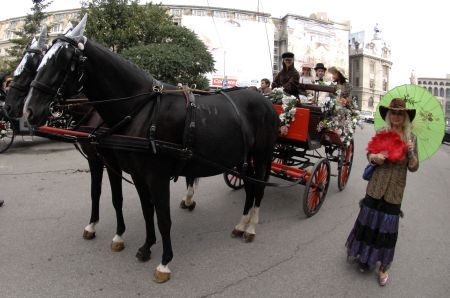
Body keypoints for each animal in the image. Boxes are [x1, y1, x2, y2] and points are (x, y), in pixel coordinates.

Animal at [24, 15, 280, 282]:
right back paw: (241, 224)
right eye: (41, 60)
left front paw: (164, 262)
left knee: (259, 187)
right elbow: (147, 210)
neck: (142, 109)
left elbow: (163, 218)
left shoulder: (157, 176)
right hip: (244, 158)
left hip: (262, 156)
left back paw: (251, 227)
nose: (29, 111)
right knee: (249, 186)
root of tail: (265, 100)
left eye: (63, 61)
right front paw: (146, 247)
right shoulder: (137, 174)